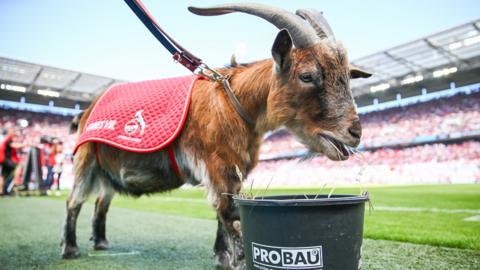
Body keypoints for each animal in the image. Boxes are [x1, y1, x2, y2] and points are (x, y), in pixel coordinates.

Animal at [61, 2, 372, 270]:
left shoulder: (232, 169)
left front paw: (222, 258)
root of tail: (86, 110)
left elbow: (224, 213)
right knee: (74, 201)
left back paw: (101, 242)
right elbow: (229, 214)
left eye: (346, 77)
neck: (233, 102)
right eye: (307, 76)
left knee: (101, 203)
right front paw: (237, 261)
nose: (354, 133)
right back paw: (70, 249)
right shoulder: (218, 165)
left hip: (107, 172)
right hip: (86, 161)